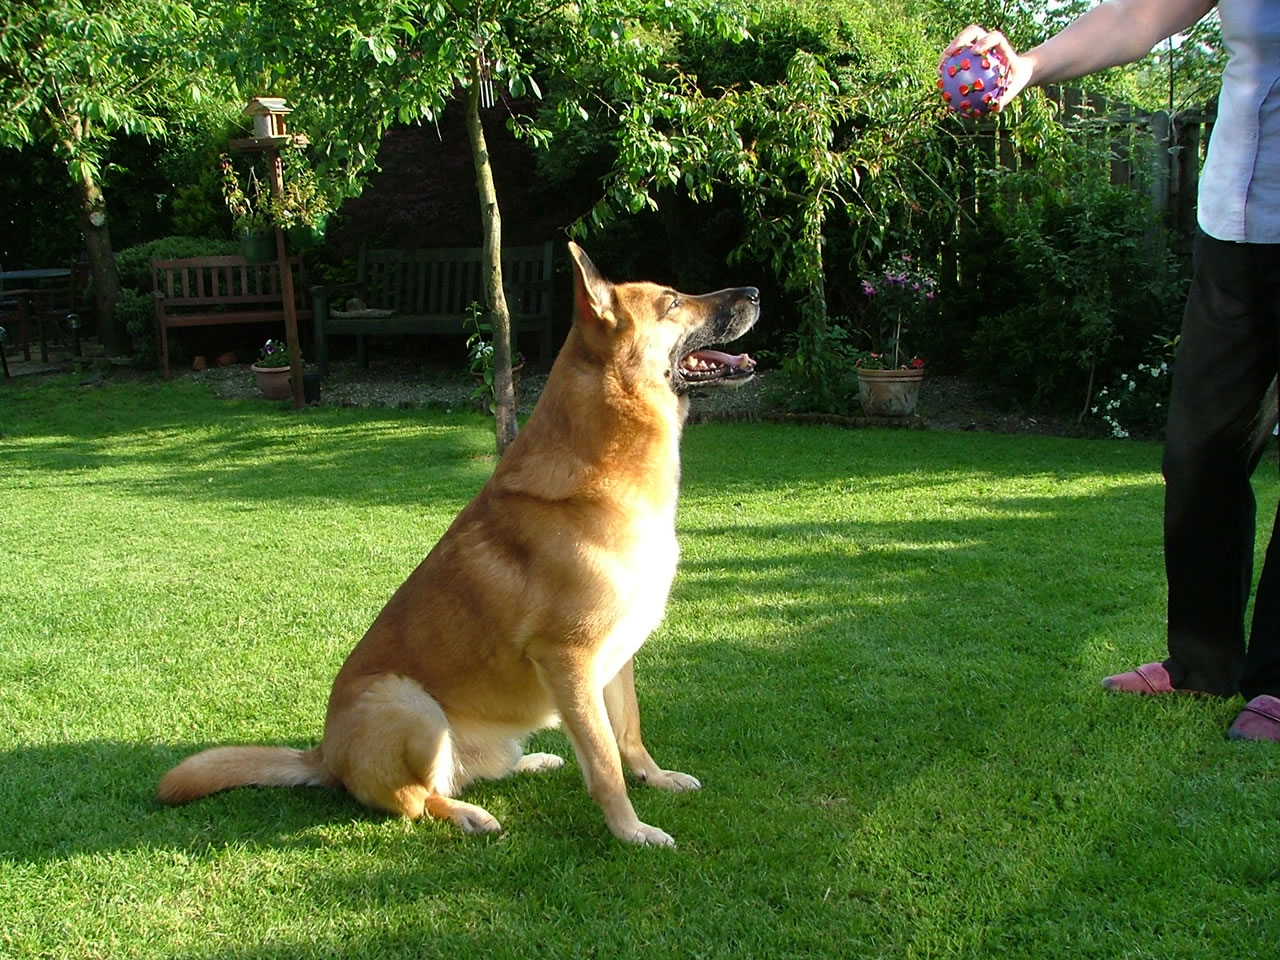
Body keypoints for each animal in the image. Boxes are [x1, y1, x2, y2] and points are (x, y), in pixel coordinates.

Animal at [157, 243, 760, 847]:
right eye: (673, 302)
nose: (755, 292)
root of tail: (323, 756)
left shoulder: (616, 659)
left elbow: (629, 732)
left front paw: (655, 778)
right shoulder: (569, 661)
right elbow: (605, 761)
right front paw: (631, 830)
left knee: (469, 773)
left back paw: (531, 763)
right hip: (411, 704)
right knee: (416, 798)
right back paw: (467, 814)